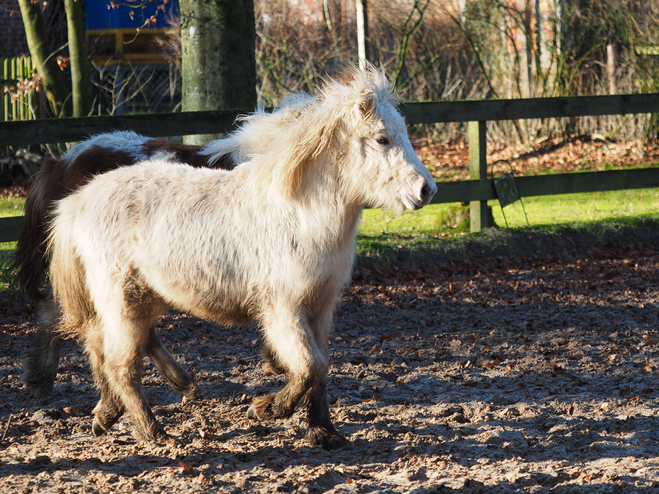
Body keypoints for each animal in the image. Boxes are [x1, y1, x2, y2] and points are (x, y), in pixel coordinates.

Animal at [43, 67, 436, 450]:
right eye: (383, 139)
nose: (427, 190)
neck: (298, 213)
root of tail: (78, 200)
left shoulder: (321, 308)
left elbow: (322, 368)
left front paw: (324, 432)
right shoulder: (282, 309)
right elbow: (309, 366)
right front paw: (265, 409)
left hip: (140, 300)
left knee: (100, 345)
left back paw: (107, 415)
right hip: (124, 301)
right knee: (121, 364)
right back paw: (154, 432)